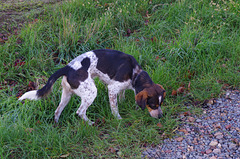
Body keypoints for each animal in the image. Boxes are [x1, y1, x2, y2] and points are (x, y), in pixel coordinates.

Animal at [18, 49, 166, 125]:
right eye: (152, 105)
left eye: (160, 104)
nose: (161, 117)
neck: (135, 73)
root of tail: (67, 67)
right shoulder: (112, 89)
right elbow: (115, 108)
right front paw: (119, 119)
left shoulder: (122, 88)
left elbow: (122, 96)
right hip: (91, 93)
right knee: (80, 112)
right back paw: (90, 123)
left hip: (66, 95)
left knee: (57, 111)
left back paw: (57, 125)